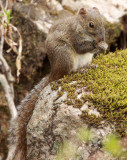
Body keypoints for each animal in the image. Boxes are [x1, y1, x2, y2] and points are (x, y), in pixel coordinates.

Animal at [6, 6, 107, 160]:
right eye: (91, 24)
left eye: (103, 21)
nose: (102, 38)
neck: (79, 25)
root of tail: (54, 72)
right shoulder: (74, 36)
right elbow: (81, 47)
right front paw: (98, 45)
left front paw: (104, 45)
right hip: (65, 55)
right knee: (67, 73)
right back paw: (80, 71)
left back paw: (89, 66)